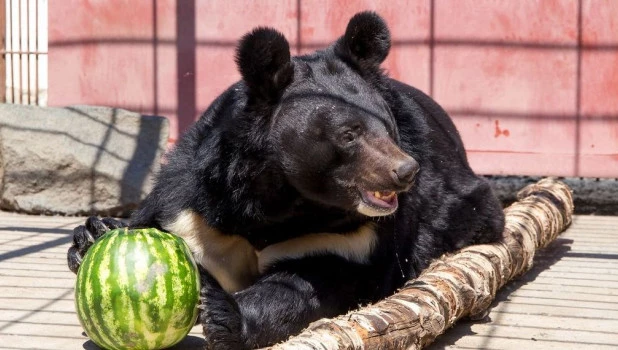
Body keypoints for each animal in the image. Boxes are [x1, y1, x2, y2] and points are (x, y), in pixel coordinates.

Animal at [67, 11, 502, 350]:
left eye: (388, 127)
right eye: (349, 134)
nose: (406, 171)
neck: (282, 202)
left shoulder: (354, 238)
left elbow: (305, 285)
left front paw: (222, 311)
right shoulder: (195, 206)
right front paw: (93, 233)